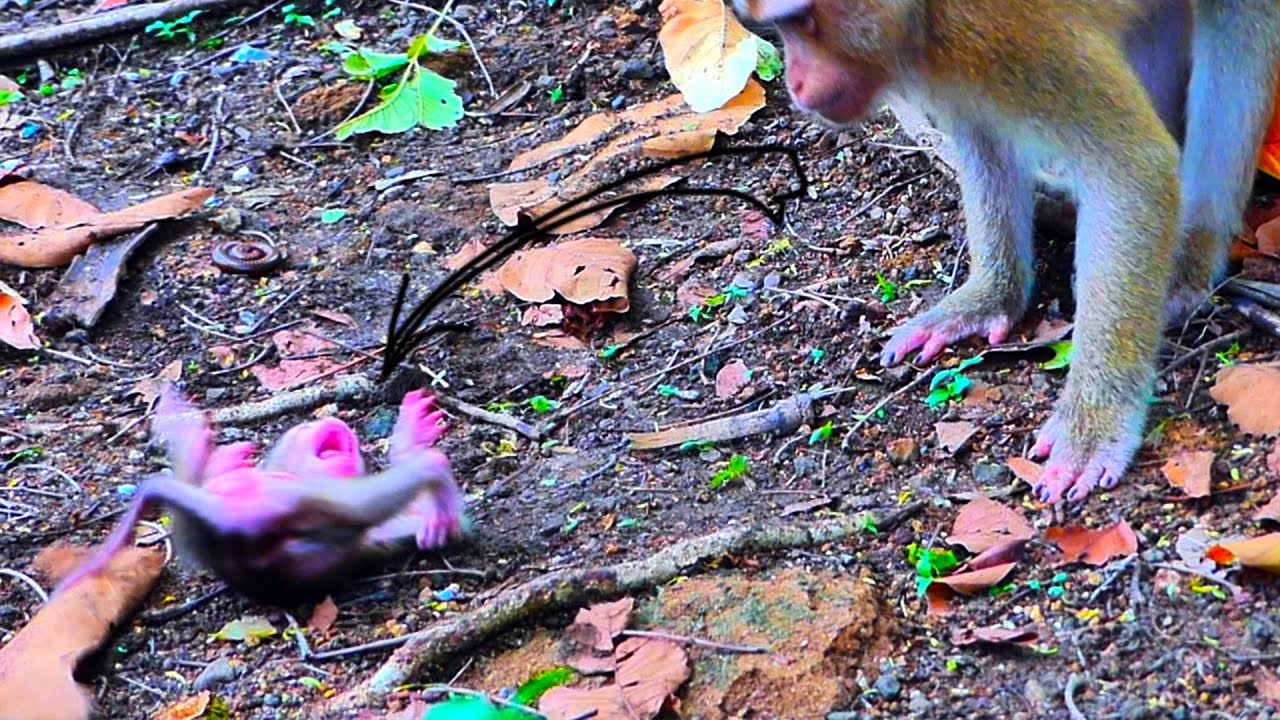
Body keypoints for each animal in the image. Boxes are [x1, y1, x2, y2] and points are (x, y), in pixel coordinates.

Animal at [734, 0, 1280, 503]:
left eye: (802, 21)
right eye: (782, 28)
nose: (796, 84)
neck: (923, 16)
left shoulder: (1003, 39)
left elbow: (1135, 170)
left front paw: (1093, 424)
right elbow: (985, 133)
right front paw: (989, 297)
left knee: (1240, 22)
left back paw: (1191, 252)